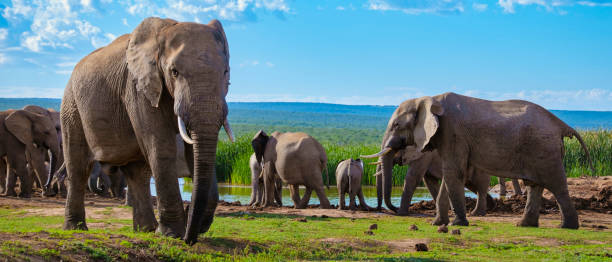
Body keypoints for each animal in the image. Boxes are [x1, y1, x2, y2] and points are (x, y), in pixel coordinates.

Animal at [58, 17, 234, 245]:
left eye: (226, 72)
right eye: (174, 72)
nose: (189, 239)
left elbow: (191, 150)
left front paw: (189, 226)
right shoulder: (137, 87)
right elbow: (161, 147)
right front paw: (172, 234)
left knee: (137, 172)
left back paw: (146, 230)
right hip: (71, 106)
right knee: (78, 167)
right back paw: (75, 228)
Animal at [364, 93, 592, 228]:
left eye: (396, 125)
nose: (391, 211)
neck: (430, 98)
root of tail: (561, 124)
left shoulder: (452, 133)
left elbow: (448, 173)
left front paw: (457, 224)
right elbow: (446, 177)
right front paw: (438, 224)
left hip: (544, 149)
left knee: (556, 184)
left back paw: (567, 227)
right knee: (534, 185)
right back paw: (524, 225)